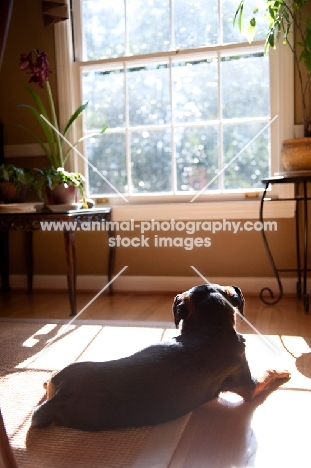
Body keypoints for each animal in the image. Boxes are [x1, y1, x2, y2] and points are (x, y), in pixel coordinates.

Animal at [30, 282, 292, 432]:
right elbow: (268, 373)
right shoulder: (249, 386)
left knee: (46, 383)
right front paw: (283, 369)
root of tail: (59, 398)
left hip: (63, 373)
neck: (210, 330)